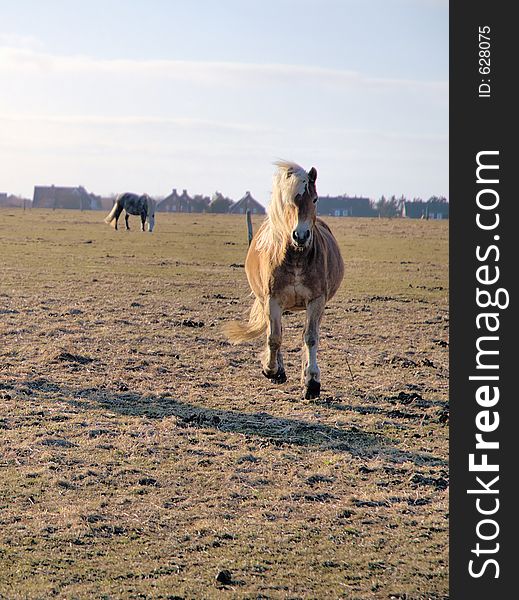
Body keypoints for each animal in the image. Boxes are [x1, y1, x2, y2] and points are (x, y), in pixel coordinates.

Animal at [224, 162, 344, 400]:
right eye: (289, 201)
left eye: (315, 199)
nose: (301, 235)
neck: (296, 257)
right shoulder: (273, 300)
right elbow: (274, 337)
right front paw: (272, 370)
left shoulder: (316, 301)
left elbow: (310, 338)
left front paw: (311, 382)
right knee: (273, 332)